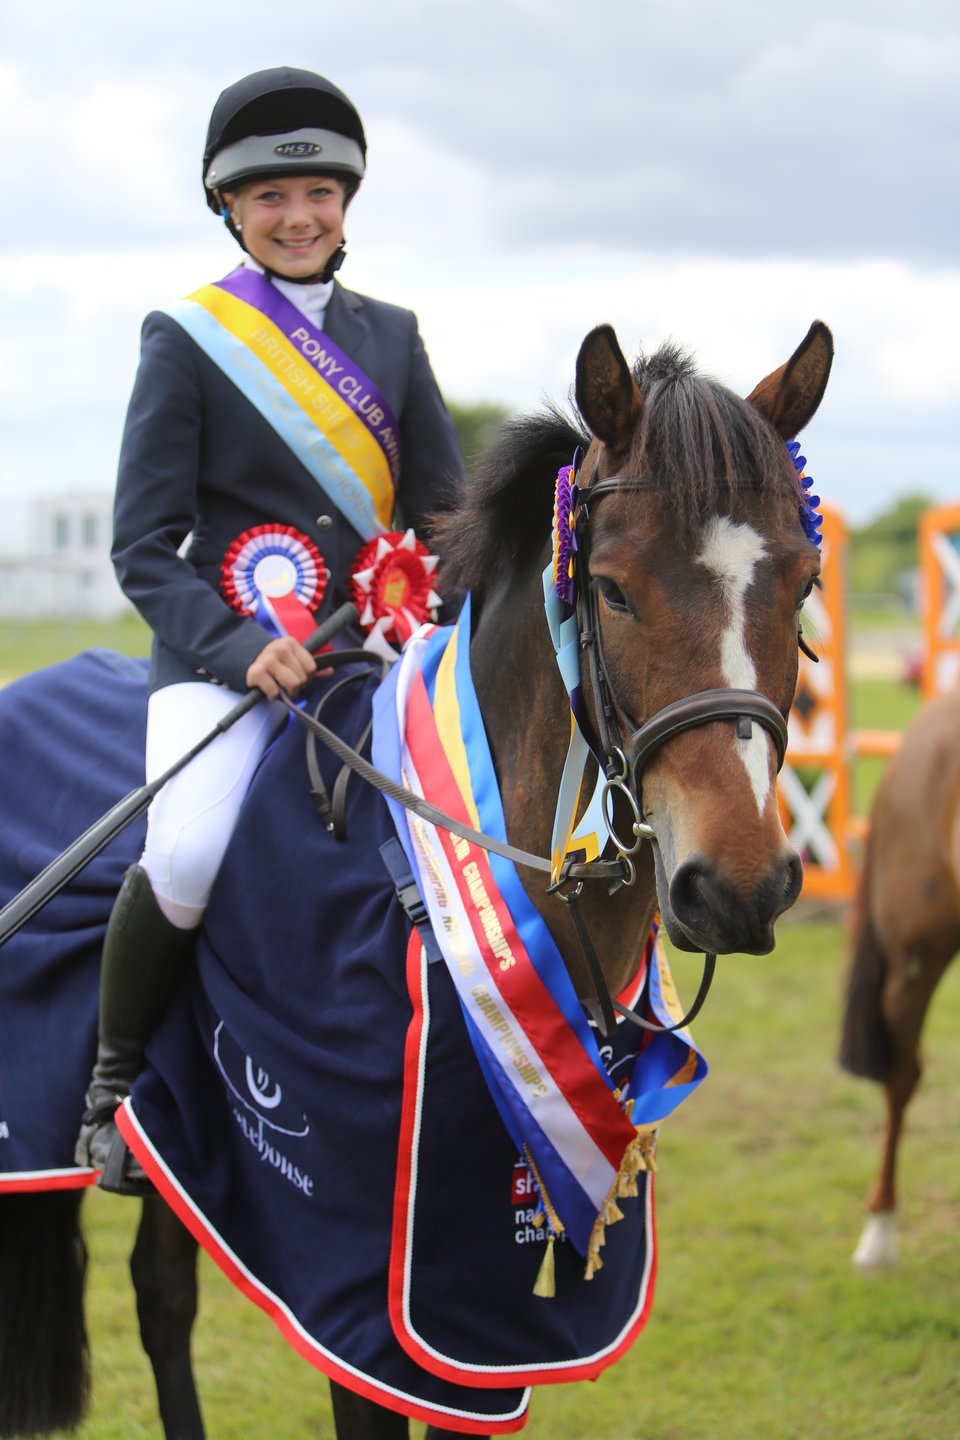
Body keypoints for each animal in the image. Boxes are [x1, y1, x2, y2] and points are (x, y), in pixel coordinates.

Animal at [0, 316, 832, 1439]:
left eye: (804, 584)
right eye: (614, 588)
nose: (737, 885)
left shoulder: (473, 1292)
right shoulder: (357, 1282)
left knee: (161, 1292)